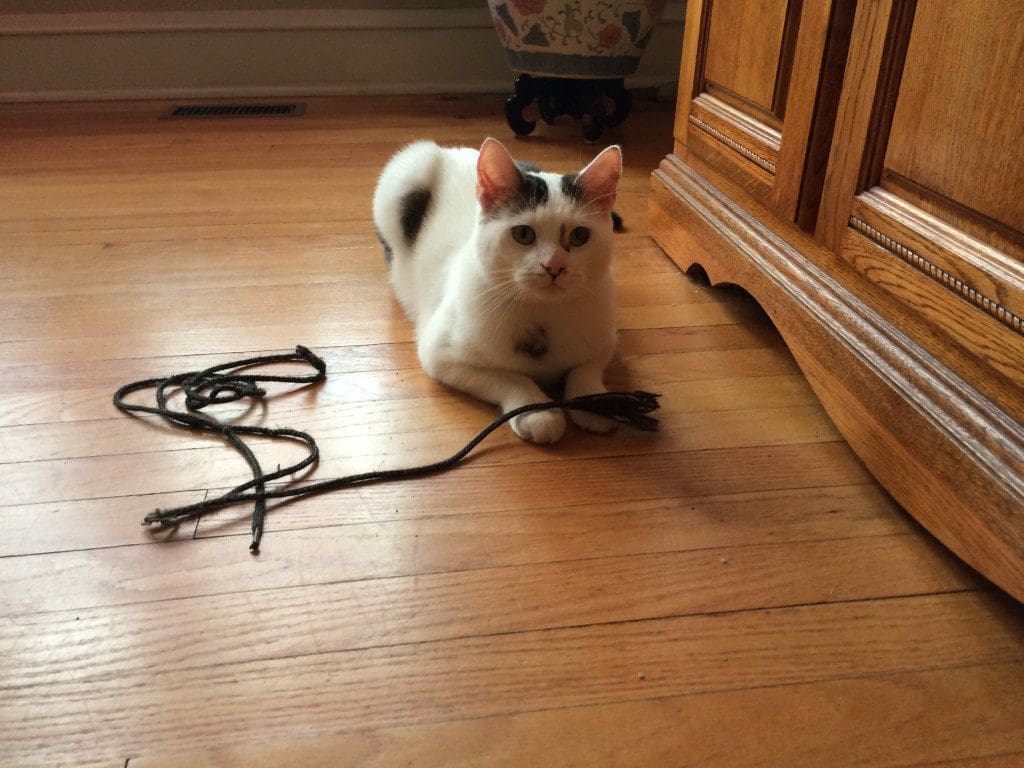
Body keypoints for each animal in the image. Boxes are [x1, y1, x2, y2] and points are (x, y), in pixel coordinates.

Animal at [372, 137, 622, 443]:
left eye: (579, 236)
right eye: (523, 234)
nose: (553, 267)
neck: (542, 313)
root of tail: (454, 150)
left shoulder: (606, 337)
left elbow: (585, 369)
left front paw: (596, 401)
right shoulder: (441, 355)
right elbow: (511, 377)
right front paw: (538, 413)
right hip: (408, 175)